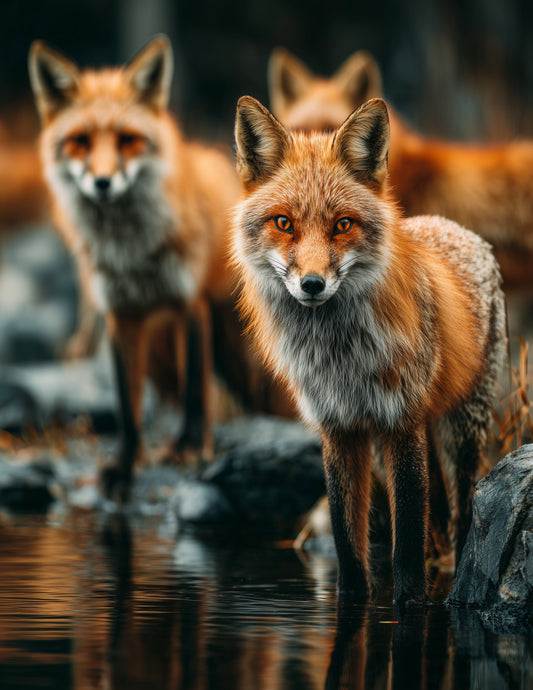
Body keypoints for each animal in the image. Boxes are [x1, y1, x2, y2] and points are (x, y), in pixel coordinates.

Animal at [29, 35, 243, 500]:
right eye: (80, 141)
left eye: (128, 140)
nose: (103, 183)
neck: (132, 253)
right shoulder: (120, 314)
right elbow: (128, 407)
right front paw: (123, 469)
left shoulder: (189, 302)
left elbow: (195, 389)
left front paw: (189, 447)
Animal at [231, 95, 506, 604]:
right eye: (284, 223)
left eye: (343, 225)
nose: (312, 284)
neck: (339, 357)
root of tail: (449, 225)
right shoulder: (340, 427)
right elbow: (347, 539)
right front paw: (353, 600)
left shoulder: (402, 421)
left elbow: (407, 541)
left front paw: (413, 603)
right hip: (392, 445)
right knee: (437, 516)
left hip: (459, 428)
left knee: (462, 512)